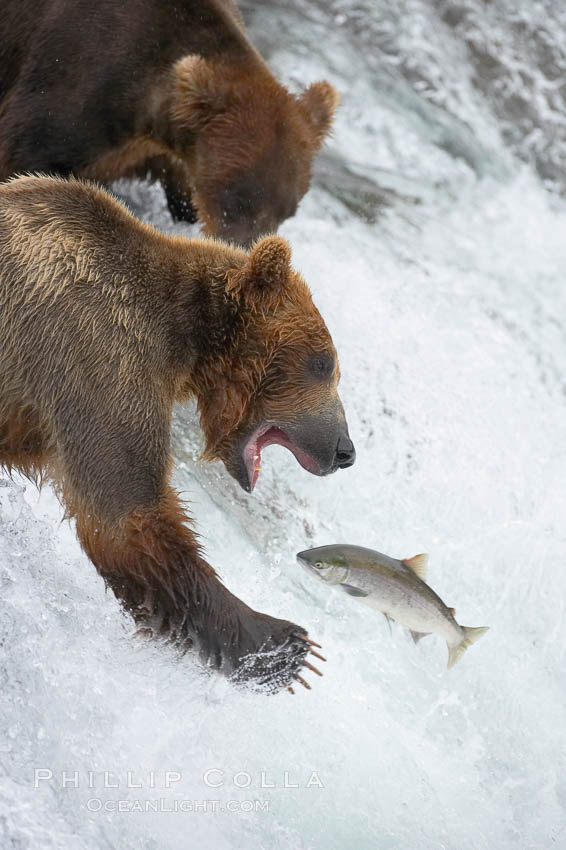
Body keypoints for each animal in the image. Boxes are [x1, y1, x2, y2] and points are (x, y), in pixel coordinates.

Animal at [0, 176, 356, 692]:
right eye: (325, 363)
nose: (345, 449)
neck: (184, 334)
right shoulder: (96, 352)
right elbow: (128, 515)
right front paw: (283, 646)